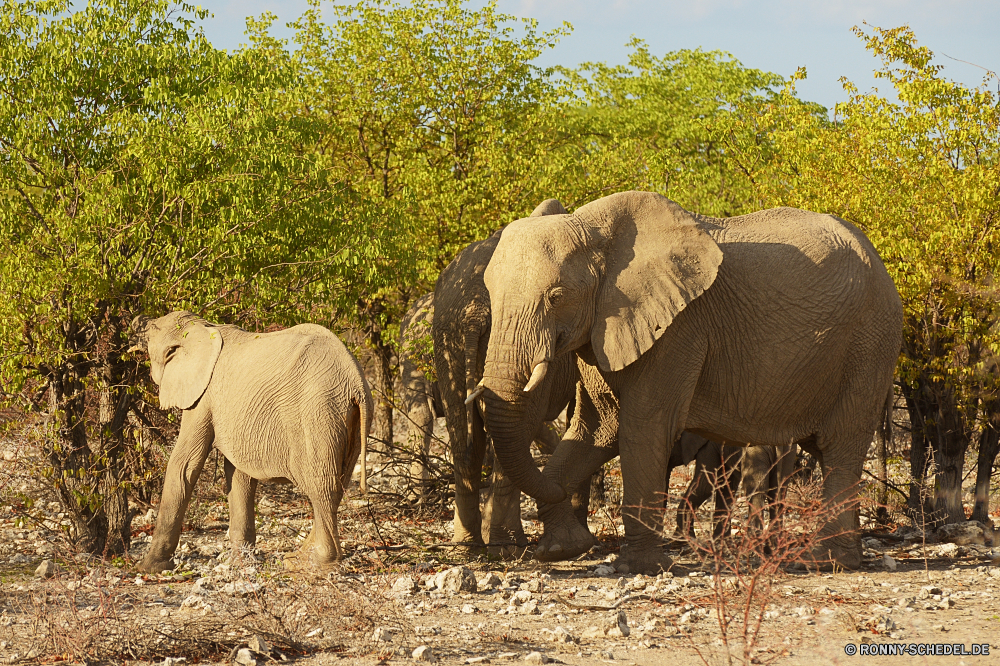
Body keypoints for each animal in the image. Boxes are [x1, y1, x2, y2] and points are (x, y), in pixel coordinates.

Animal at [129, 312, 372, 572]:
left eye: (151, 330)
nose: (137, 320)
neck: (202, 326)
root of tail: (355, 381)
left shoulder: (203, 397)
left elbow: (184, 463)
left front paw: (147, 567)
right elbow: (239, 475)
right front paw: (241, 562)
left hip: (318, 414)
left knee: (322, 487)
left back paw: (315, 564)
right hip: (351, 421)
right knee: (338, 484)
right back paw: (297, 558)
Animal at [434, 198, 584, 556]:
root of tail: (473, 309)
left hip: (448, 338)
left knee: (466, 440)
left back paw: (468, 546)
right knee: (513, 433)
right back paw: (508, 545)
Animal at [480, 188, 904, 572]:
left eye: (556, 296)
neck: (594, 228)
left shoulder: (677, 331)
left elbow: (643, 431)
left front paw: (640, 567)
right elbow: (596, 431)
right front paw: (562, 550)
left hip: (870, 344)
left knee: (841, 446)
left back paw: (825, 562)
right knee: (827, 451)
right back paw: (838, 558)